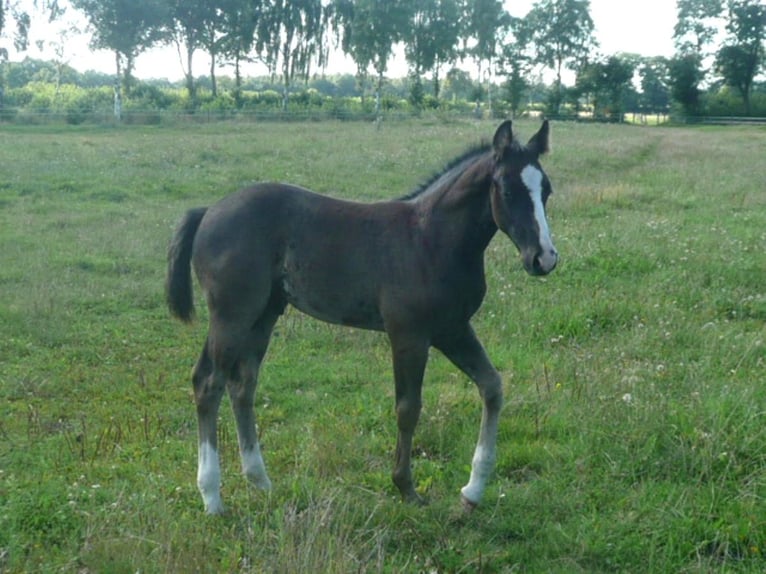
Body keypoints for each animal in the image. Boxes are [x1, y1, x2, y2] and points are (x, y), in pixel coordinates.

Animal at [168, 121, 560, 516]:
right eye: (507, 190)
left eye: (546, 190)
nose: (543, 258)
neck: (431, 239)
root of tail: (209, 210)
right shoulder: (408, 335)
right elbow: (408, 407)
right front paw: (406, 487)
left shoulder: (452, 329)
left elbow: (492, 387)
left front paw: (473, 490)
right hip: (232, 315)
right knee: (209, 383)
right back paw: (212, 497)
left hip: (263, 314)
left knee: (242, 384)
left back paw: (260, 481)